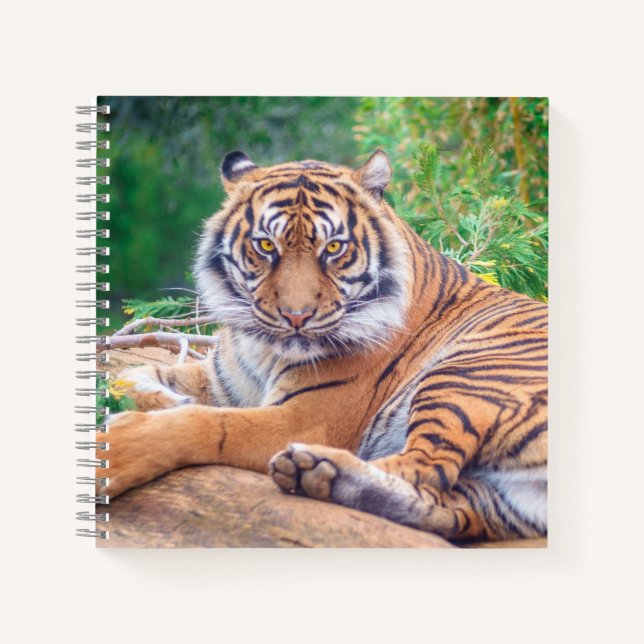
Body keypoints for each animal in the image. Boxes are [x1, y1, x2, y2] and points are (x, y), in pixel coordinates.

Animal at [98, 149, 548, 543]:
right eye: (266, 246)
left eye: (333, 248)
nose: (296, 316)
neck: (264, 349)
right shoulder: (220, 379)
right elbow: (134, 374)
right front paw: (168, 400)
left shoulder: (304, 418)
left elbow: (210, 424)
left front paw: (118, 452)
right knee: (446, 507)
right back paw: (318, 474)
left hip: (465, 376)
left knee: (426, 467)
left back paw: (318, 465)